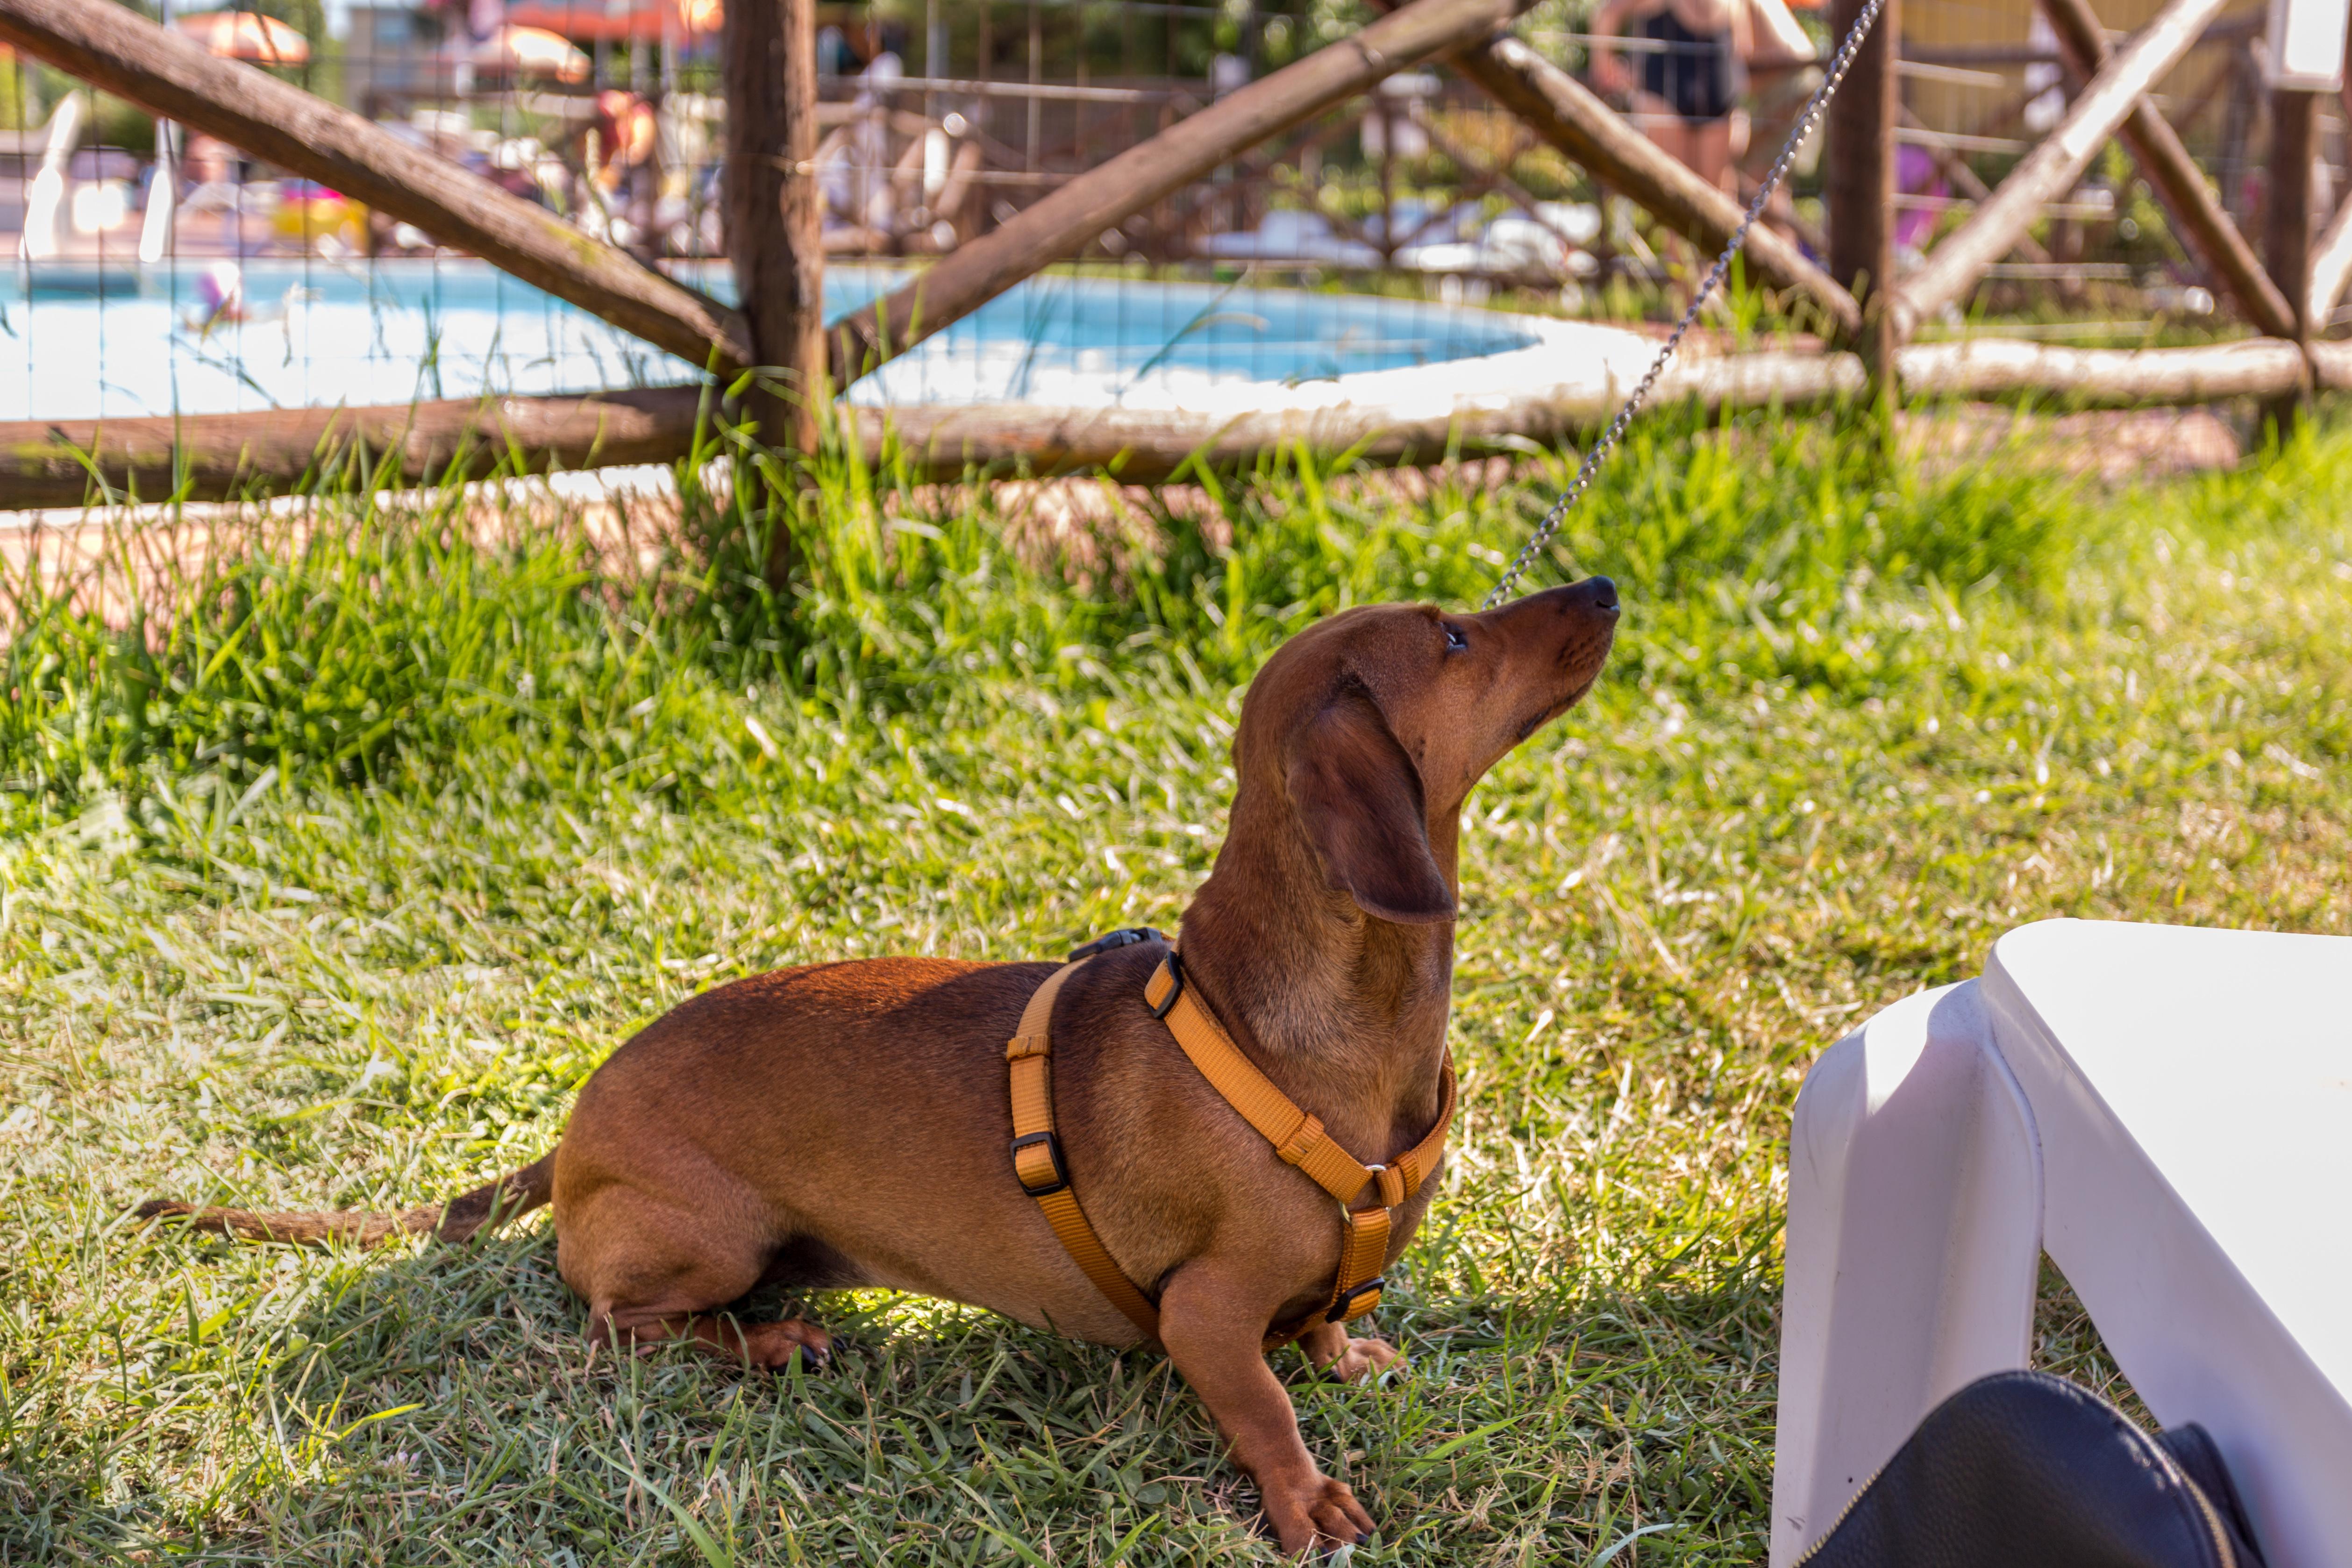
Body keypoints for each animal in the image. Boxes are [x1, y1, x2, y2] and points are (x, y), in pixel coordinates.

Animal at [142, 580, 1618, 1561]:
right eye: (1454, 636)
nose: (1601, 585)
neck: (1297, 1030)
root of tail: (572, 1135)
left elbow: (1317, 1331)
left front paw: (1349, 1351)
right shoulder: (1202, 1314)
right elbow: (1260, 1399)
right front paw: (1304, 1498)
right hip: (713, 1235)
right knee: (619, 1324)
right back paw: (767, 1340)